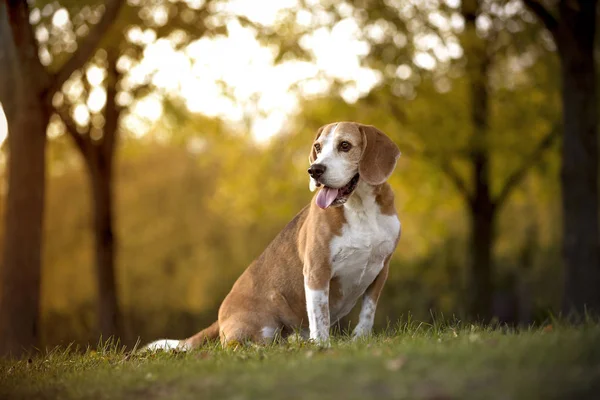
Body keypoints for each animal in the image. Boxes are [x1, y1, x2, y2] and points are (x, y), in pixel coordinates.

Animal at [145, 122, 398, 350]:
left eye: (345, 145)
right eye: (317, 147)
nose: (314, 170)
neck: (361, 208)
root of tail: (220, 318)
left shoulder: (381, 268)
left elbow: (367, 312)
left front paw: (360, 340)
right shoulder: (317, 271)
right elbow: (320, 317)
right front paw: (322, 346)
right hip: (262, 325)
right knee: (239, 346)